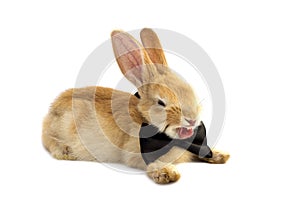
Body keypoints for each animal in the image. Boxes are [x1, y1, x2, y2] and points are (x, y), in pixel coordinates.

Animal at [41, 28, 230, 184]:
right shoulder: (137, 154)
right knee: (48, 140)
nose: (192, 120)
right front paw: (167, 173)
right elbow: (151, 162)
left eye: (192, 91)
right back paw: (65, 150)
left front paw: (220, 155)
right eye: (161, 102)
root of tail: (51, 111)